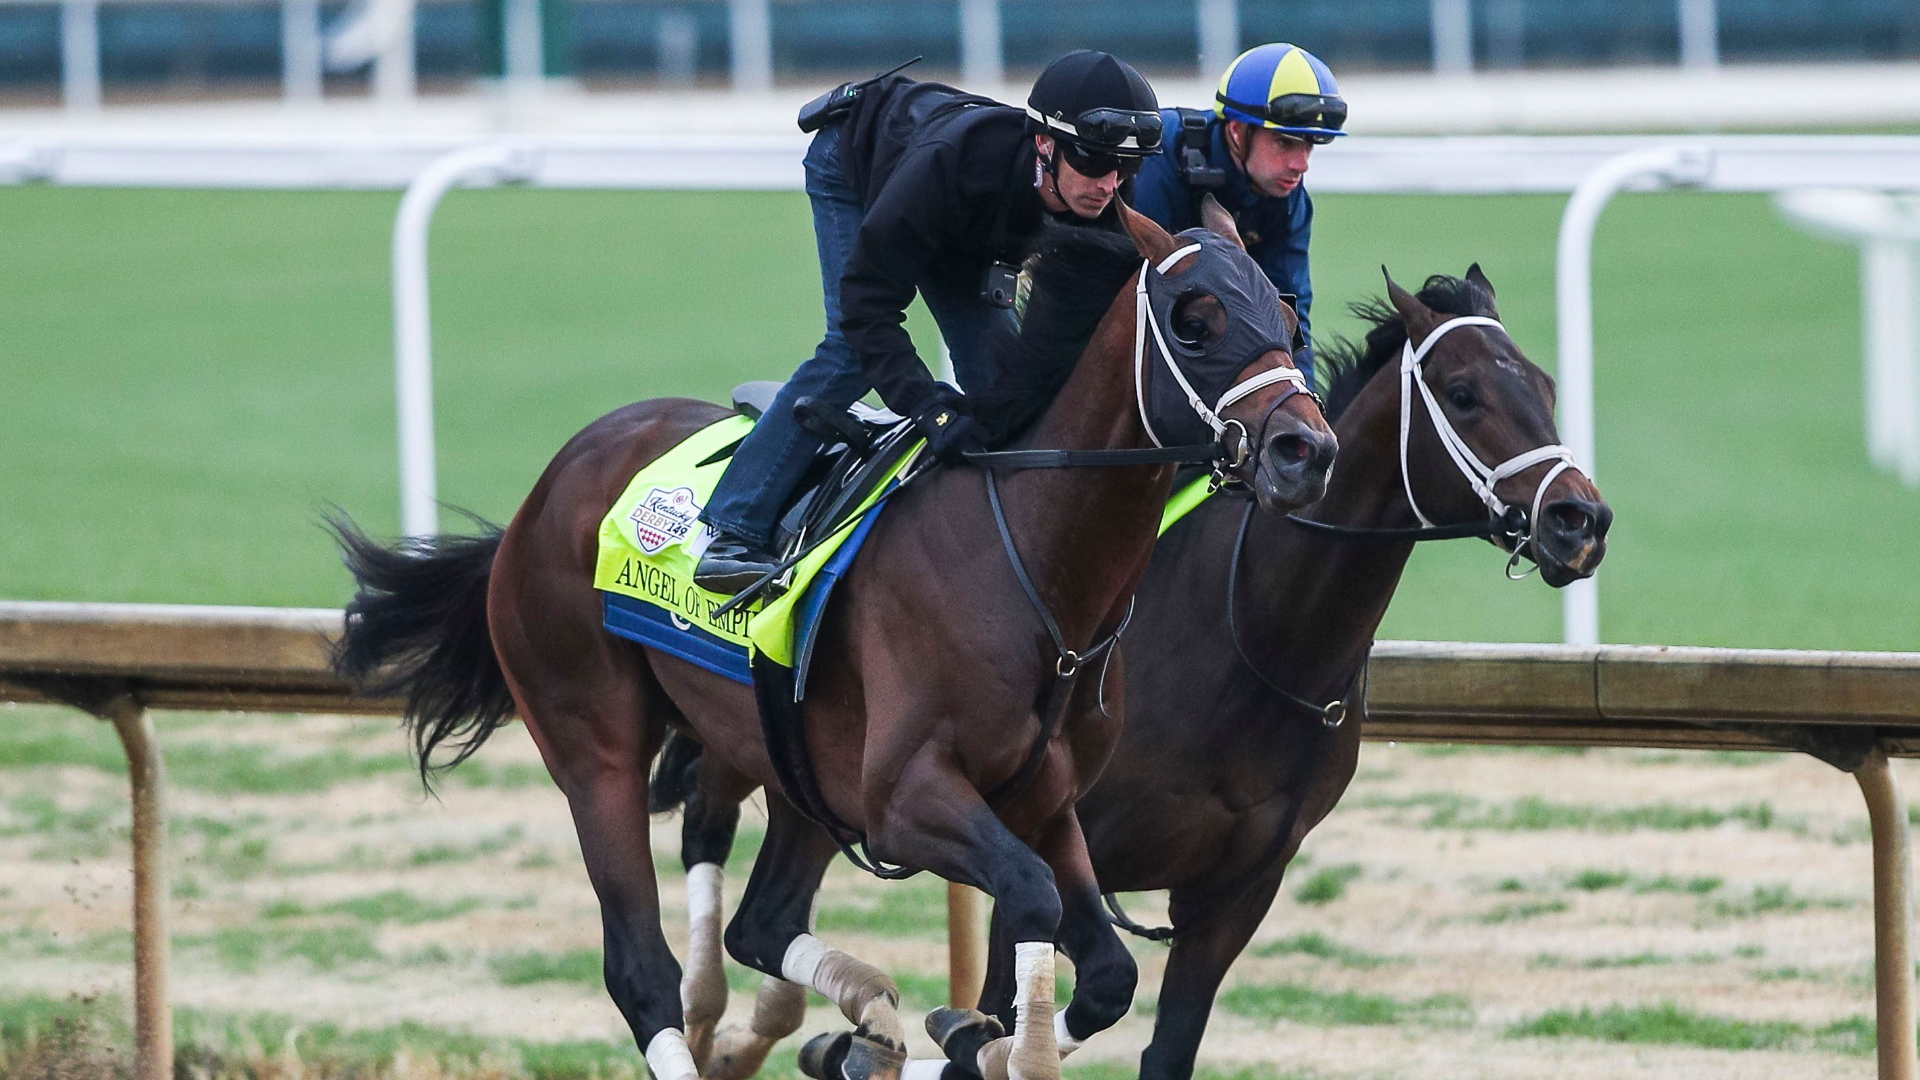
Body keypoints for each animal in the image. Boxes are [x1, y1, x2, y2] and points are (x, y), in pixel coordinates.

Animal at [330, 199, 1336, 1076]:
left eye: (1287, 313)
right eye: (1195, 320)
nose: (1306, 451)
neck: (1032, 561)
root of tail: (550, 485)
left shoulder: (1048, 800)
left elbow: (1111, 974)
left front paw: (949, 1036)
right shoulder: (905, 796)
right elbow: (1034, 901)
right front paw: (966, 1037)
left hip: (797, 768)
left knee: (761, 925)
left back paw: (866, 1017)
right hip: (593, 742)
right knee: (642, 971)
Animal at [652, 263, 1612, 1076]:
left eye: (1546, 388)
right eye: (1464, 393)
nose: (1579, 519)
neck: (1251, 640)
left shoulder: (1234, 891)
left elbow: (1150, 1038)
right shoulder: (1049, 839)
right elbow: (1010, 1009)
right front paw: (916, 1039)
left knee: (764, 909)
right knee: (709, 832)